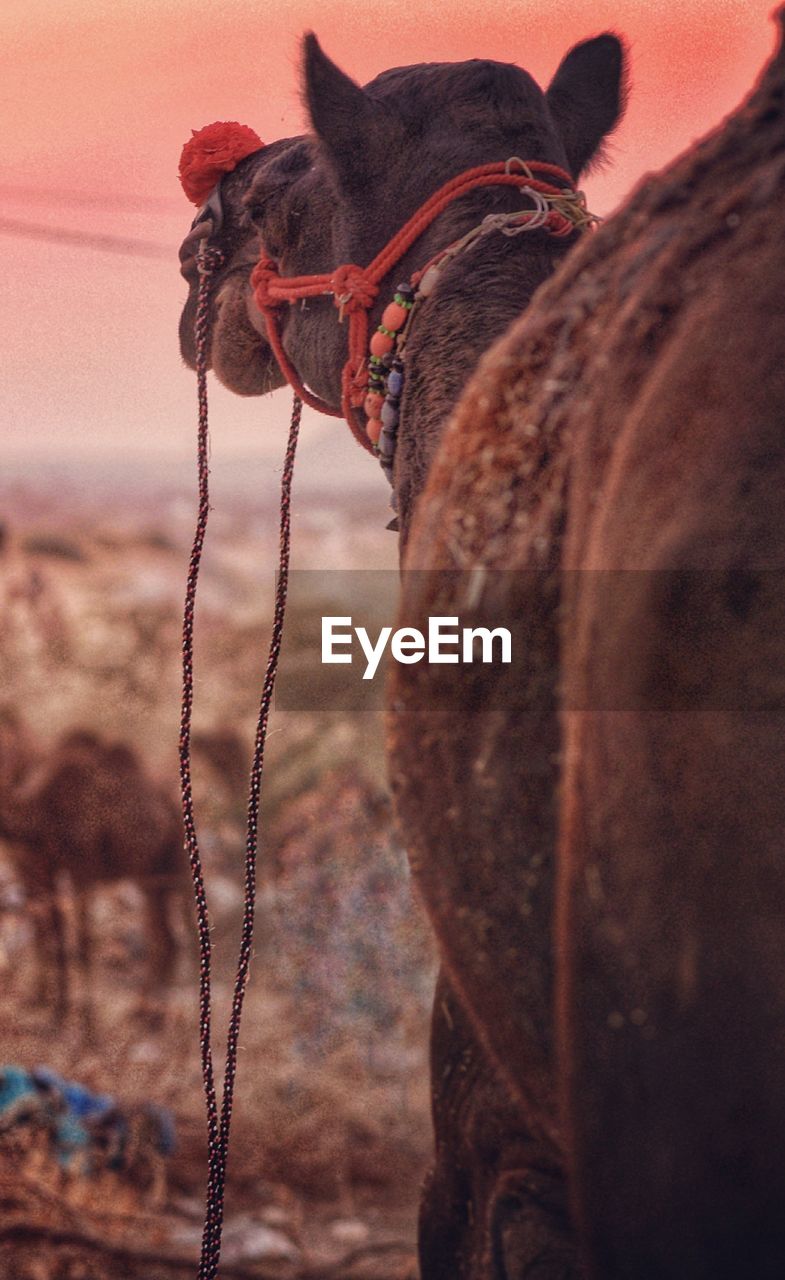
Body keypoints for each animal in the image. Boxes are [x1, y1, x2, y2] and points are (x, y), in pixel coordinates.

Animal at [0, 711, 188, 1029]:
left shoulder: (77, 871)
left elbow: (81, 942)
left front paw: (84, 1023)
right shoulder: (43, 866)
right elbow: (51, 930)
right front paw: (53, 1007)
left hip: (160, 873)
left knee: (169, 938)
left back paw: (148, 1011)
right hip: (158, 877)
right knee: (168, 938)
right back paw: (147, 1011)